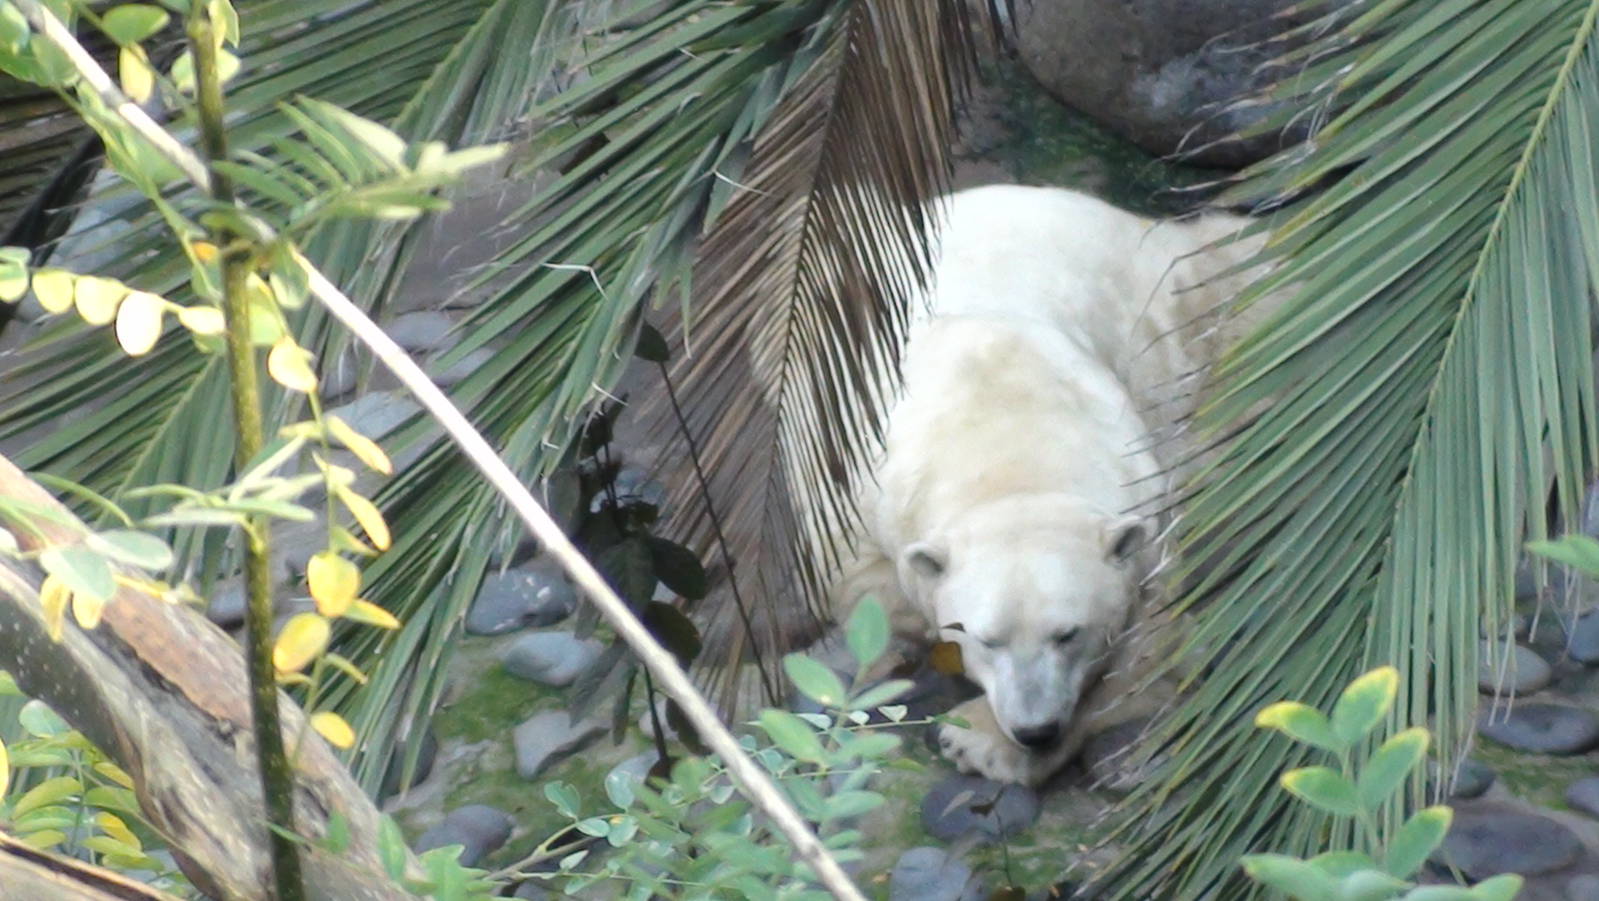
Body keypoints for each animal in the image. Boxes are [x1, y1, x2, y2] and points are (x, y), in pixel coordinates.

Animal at [832, 184, 1272, 786]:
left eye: (1069, 633)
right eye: (984, 637)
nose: (1035, 729)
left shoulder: (1145, 498)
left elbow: (1154, 629)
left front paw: (982, 743)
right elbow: (868, 587)